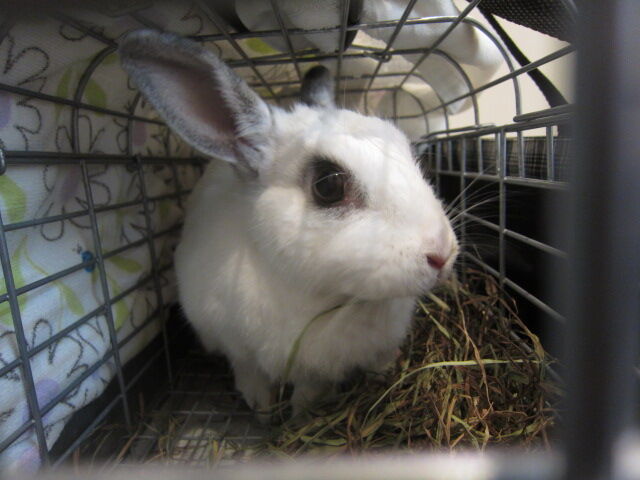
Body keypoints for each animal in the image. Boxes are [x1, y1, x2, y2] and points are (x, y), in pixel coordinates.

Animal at [119, 30, 458, 418]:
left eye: (412, 155)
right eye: (328, 185)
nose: (442, 253)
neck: (327, 298)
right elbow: (248, 372)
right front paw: (262, 408)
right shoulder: (234, 344)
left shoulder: (320, 368)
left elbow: (310, 389)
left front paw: (300, 413)